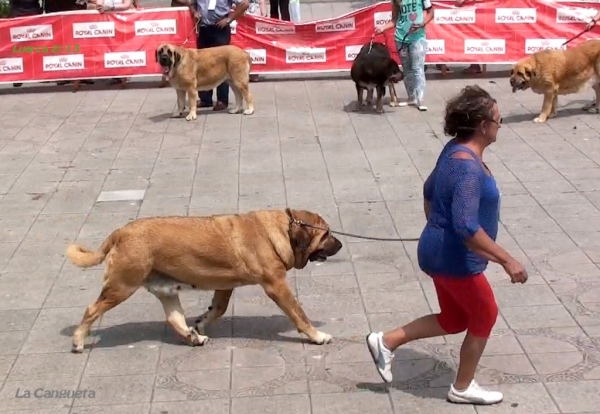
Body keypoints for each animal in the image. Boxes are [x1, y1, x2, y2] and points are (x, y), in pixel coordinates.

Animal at [65, 209, 342, 354]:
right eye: (327, 234)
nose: (340, 244)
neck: (283, 228)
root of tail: (120, 232)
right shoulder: (276, 287)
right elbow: (299, 314)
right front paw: (317, 336)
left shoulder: (224, 285)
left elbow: (218, 308)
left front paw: (200, 323)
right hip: (122, 286)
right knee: (91, 309)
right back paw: (78, 341)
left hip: (165, 290)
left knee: (174, 319)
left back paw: (193, 337)